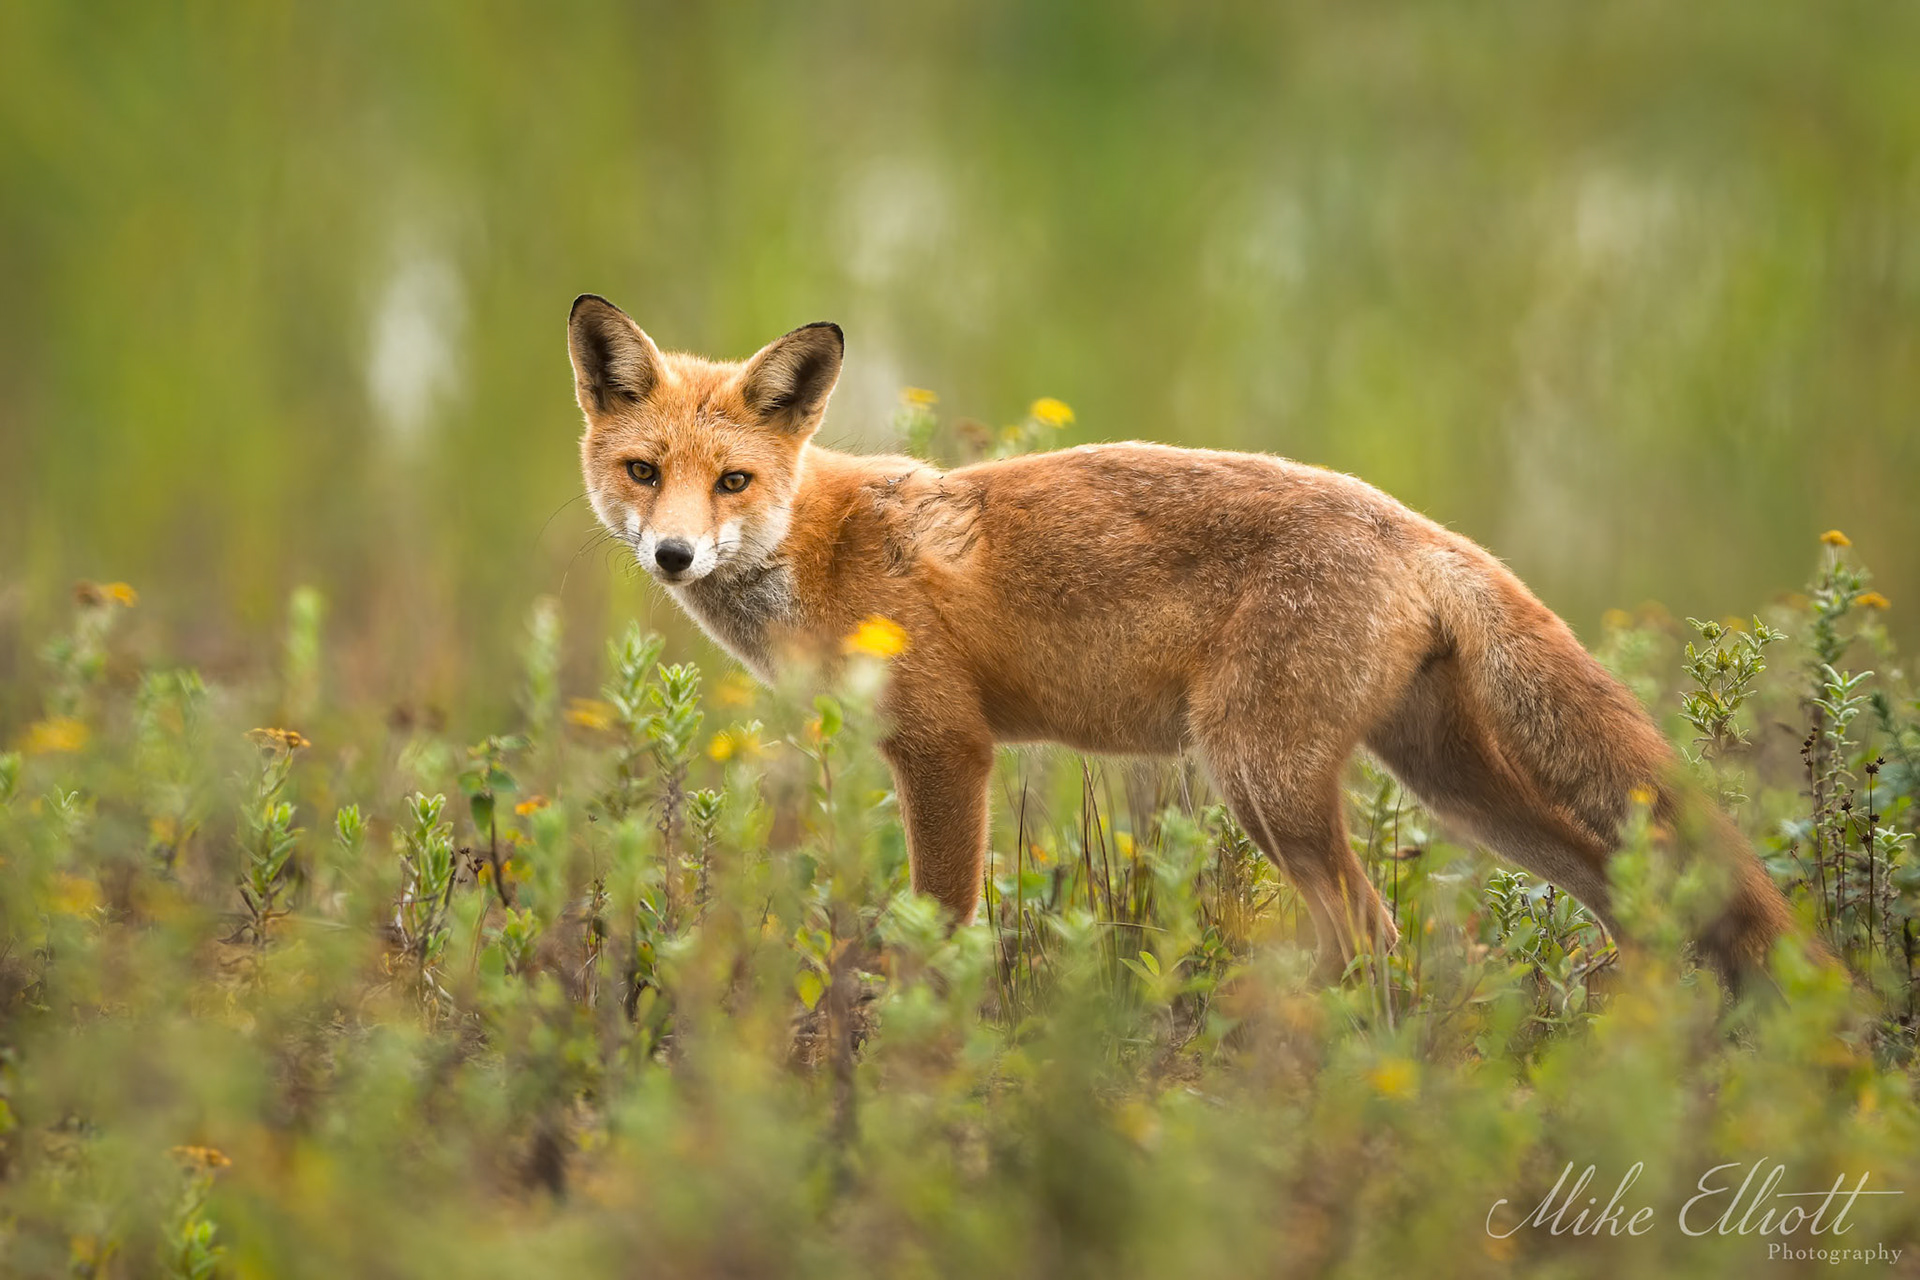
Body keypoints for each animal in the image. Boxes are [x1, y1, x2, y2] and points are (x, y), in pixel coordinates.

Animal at [566, 293, 1805, 986]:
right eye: (644, 470)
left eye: (732, 481)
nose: (674, 555)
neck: (824, 550)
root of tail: (1411, 522)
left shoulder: (946, 750)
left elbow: (941, 928)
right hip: (1447, 780)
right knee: (1621, 887)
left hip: (1261, 779)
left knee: (1375, 937)